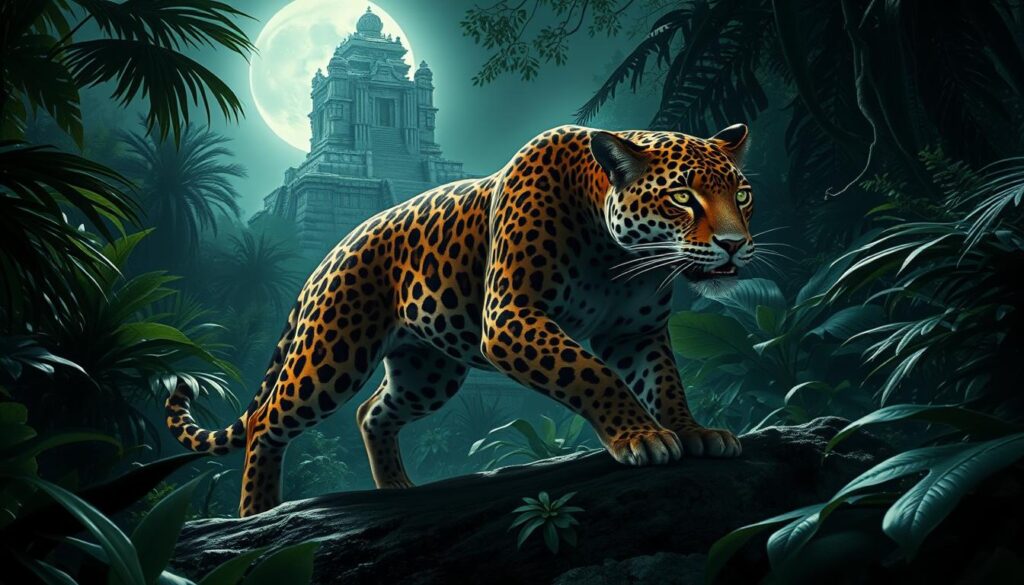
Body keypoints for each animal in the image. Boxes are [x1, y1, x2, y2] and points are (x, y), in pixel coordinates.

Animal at [166, 123, 757, 517]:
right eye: (681, 196)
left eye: (742, 193)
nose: (735, 244)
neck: (618, 254)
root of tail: (331, 252)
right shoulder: (511, 316)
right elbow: (592, 373)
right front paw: (642, 437)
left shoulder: (635, 331)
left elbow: (665, 382)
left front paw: (693, 431)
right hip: (334, 351)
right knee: (268, 420)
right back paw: (258, 513)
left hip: (428, 371)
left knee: (371, 413)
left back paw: (398, 490)